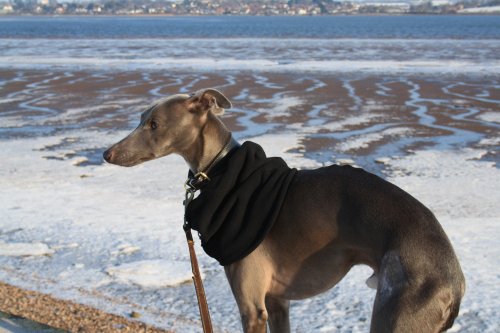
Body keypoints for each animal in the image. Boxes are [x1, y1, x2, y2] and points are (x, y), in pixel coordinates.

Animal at [103, 88, 466, 332]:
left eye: (154, 124)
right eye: (141, 119)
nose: (107, 153)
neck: (224, 170)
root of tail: (456, 281)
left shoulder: (252, 308)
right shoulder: (277, 303)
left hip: (398, 311)